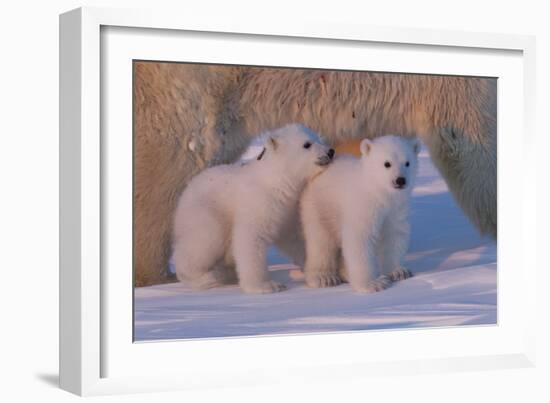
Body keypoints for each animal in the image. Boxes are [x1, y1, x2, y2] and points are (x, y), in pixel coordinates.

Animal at [172, 124, 336, 296]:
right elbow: (251, 238)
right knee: (205, 239)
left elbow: (295, 237)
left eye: (319, 139)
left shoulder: (288, 209)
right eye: (307, 144)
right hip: (205, 211)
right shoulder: (259, 202)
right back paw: (205, 277)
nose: (330, 151)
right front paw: (266, 286)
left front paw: (319, 274)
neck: (277, 181)